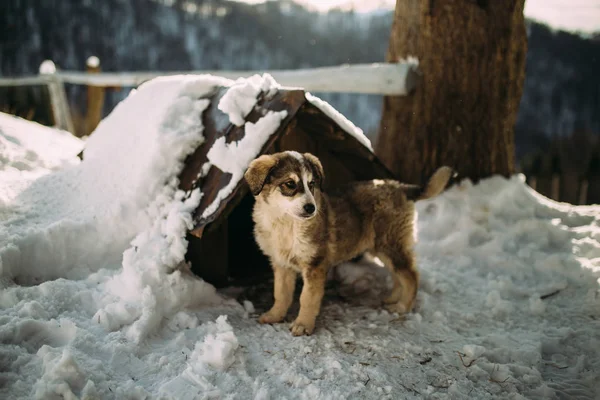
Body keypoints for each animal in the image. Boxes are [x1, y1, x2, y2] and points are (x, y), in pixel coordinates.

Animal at [241, 152, 452, 336]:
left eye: (312, 184)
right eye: (290, 184)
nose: (311, 208)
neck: (285, 223)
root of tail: (401, 187)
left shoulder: (315, 265)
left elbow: (307, 298)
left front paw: (302, 325)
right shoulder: (281, 264)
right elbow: (281, 293)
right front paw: (274, 316)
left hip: (390, 243)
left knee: (410, 275)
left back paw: (402, 307)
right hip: (381, 248)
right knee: (398, 274)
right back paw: (392, 299)